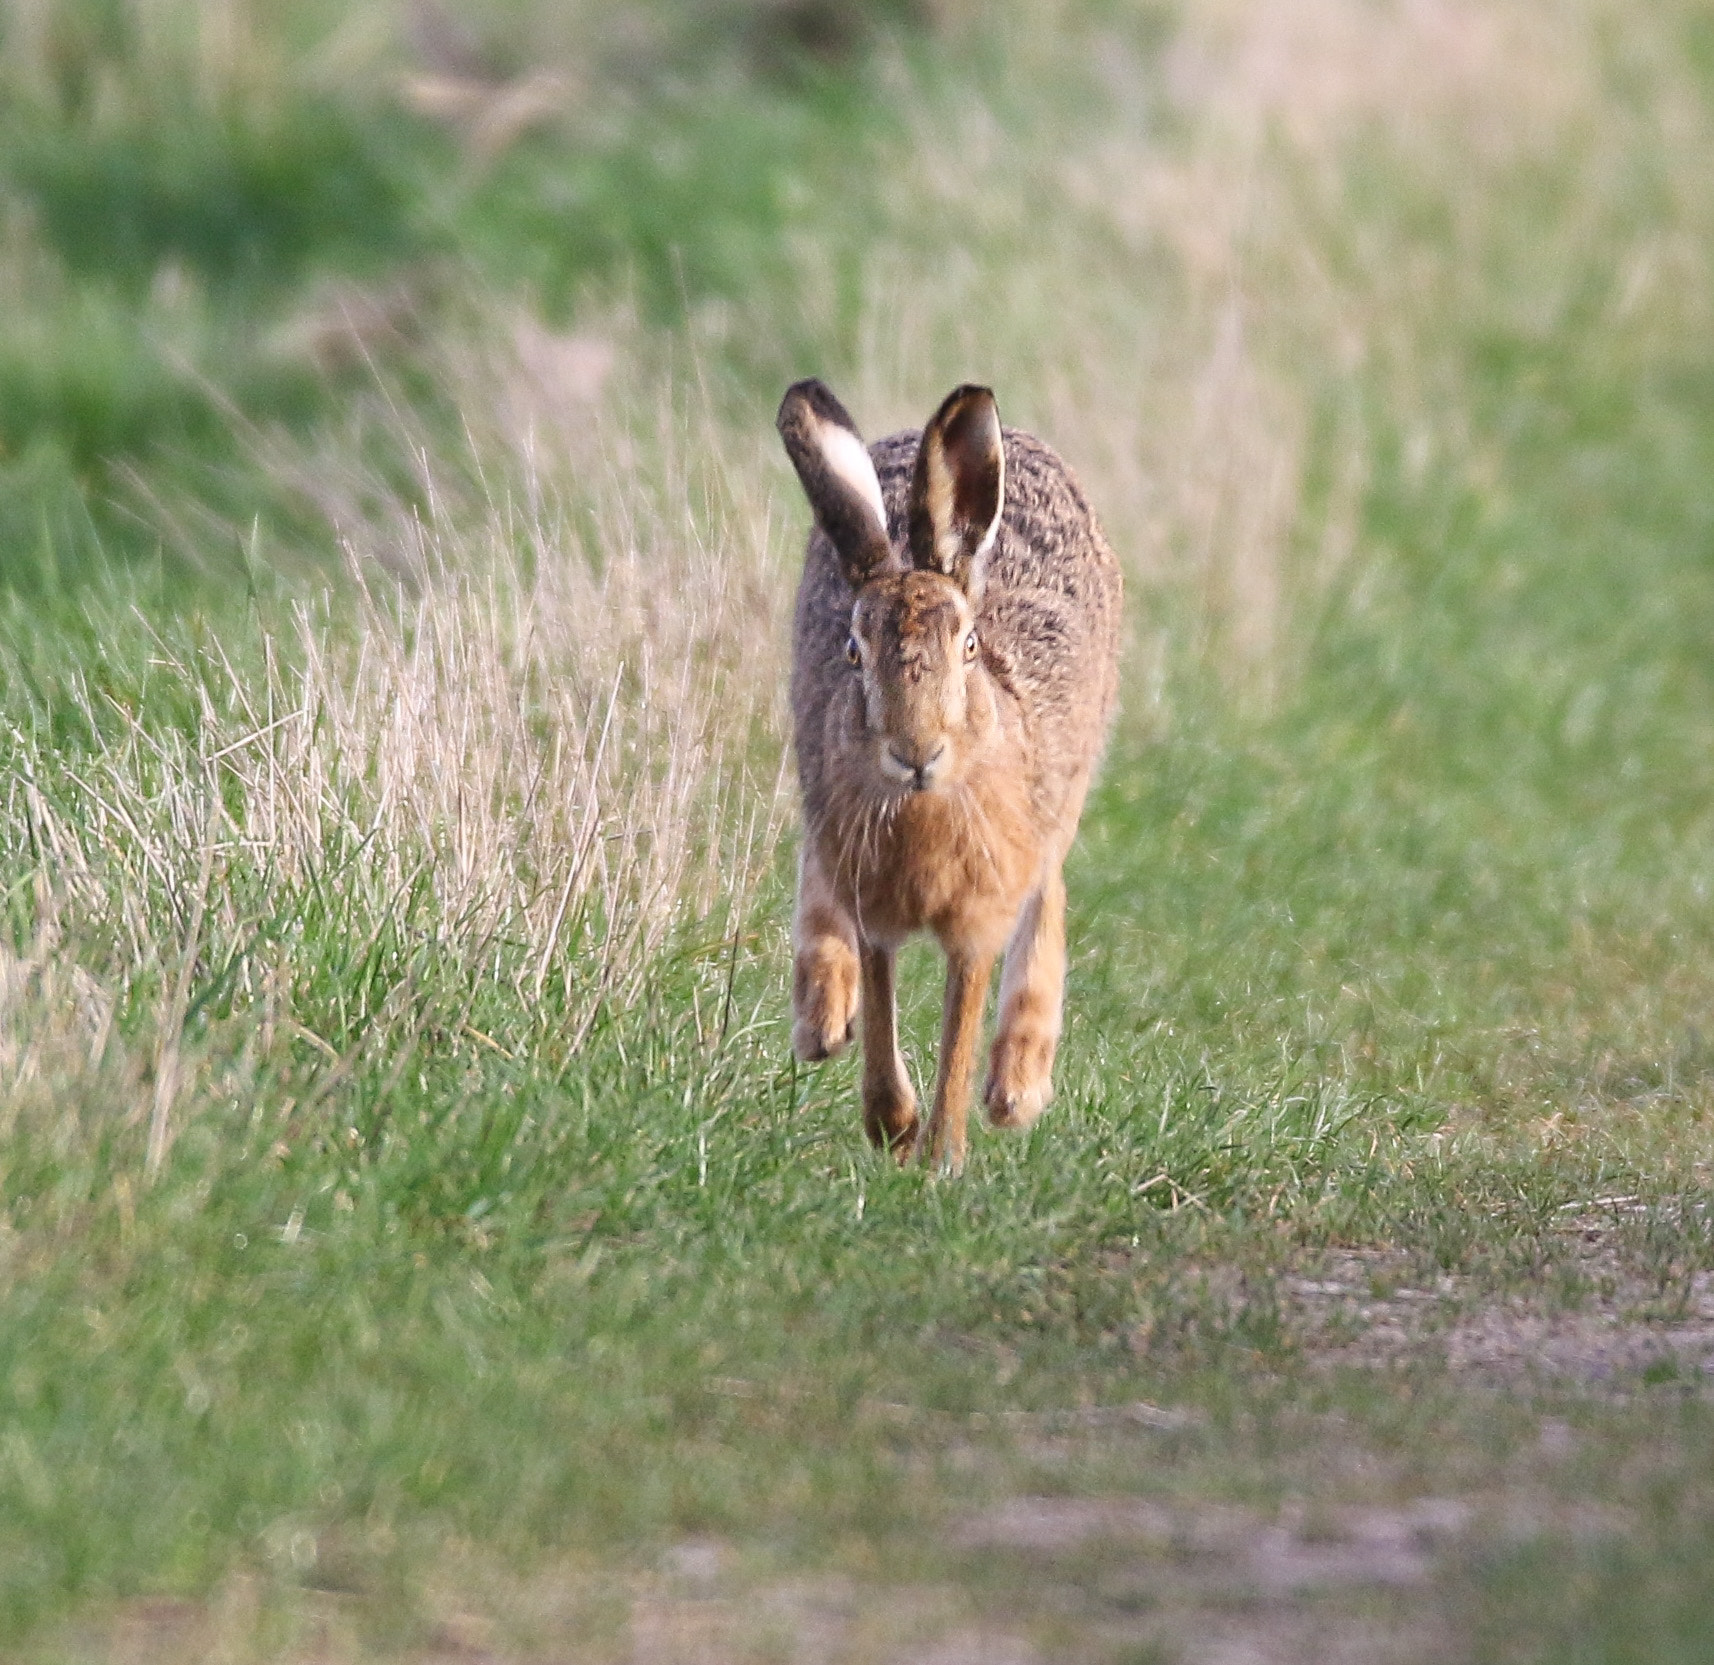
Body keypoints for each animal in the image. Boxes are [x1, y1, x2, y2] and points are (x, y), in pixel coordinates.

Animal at [777, 379, 1122, 1174]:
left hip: (1065, 794)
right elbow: (879, 1001)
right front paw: (894, 1128)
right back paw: (819, 1017)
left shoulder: (980, 913)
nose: (917, 752)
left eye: (968, 645)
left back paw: (1017, 1085)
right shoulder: (869, 902)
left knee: (1049, 896)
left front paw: (943, 1156)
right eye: (853, 650)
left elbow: (959, 1026)